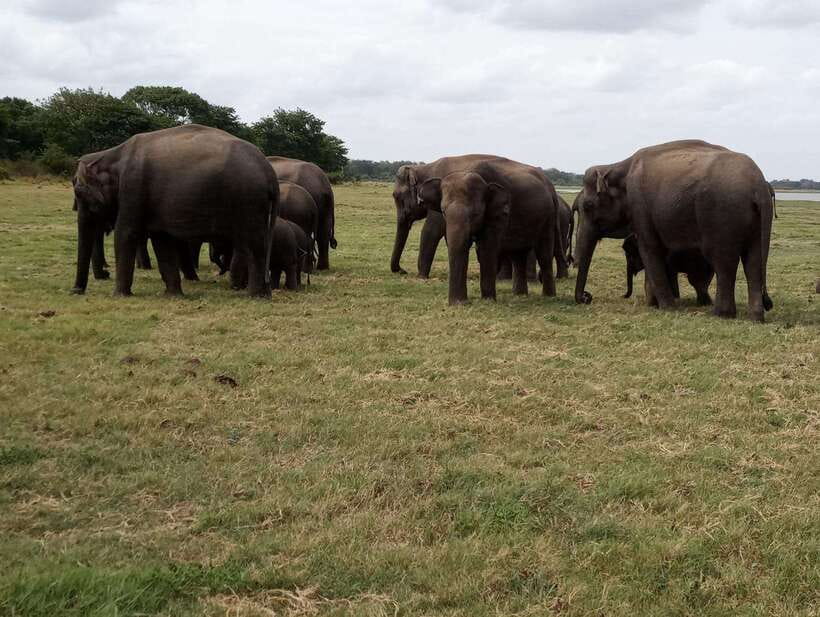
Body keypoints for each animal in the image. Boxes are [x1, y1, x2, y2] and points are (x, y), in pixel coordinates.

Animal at [71, 124, 277, 297]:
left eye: (79, 193)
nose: (75, 291)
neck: (111, 154)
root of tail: (269, 171)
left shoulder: (133, 188)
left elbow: (126, 234)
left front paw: (120, 295)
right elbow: (162, 240)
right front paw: (173, 295)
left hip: (248, 199)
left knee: (253, 243)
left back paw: (255, 295)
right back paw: (262, 293)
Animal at [417, 158, 560, 305]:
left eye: (476, 214)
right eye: (443, 212)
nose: (458, 303)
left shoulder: (499, 213)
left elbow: (487, 248)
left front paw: (488, 300)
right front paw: (461, 304)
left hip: (549, 218)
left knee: (544, 255)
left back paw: (548, 296)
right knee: (518, 256)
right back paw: (520, 295)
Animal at [573, 140, 774, 321]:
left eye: (588, 206)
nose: (587, 297)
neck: (617, 166)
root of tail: (759, 188)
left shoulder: (640, 206)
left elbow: (650, 249)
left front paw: (668, 308)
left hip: (722, 215)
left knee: (724, 261)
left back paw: (721, 314)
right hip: (755, 222)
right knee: (754, 261)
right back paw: (755, 317)